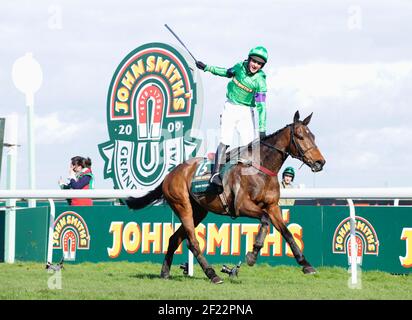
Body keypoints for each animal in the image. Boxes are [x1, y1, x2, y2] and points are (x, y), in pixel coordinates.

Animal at [127, 111, 326, 284]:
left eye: (314, 136)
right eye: (300, 136)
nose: (320, 162)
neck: (260, 169)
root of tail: (170, 174)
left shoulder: (272, 206)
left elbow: (286, 232)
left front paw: (306, 264)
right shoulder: (242, 206)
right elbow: (264, 220)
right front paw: (253, 254)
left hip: (198, 211)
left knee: (174, 239)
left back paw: (165, 273)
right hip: (182, 206)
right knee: (192, 242)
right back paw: (212, 274)